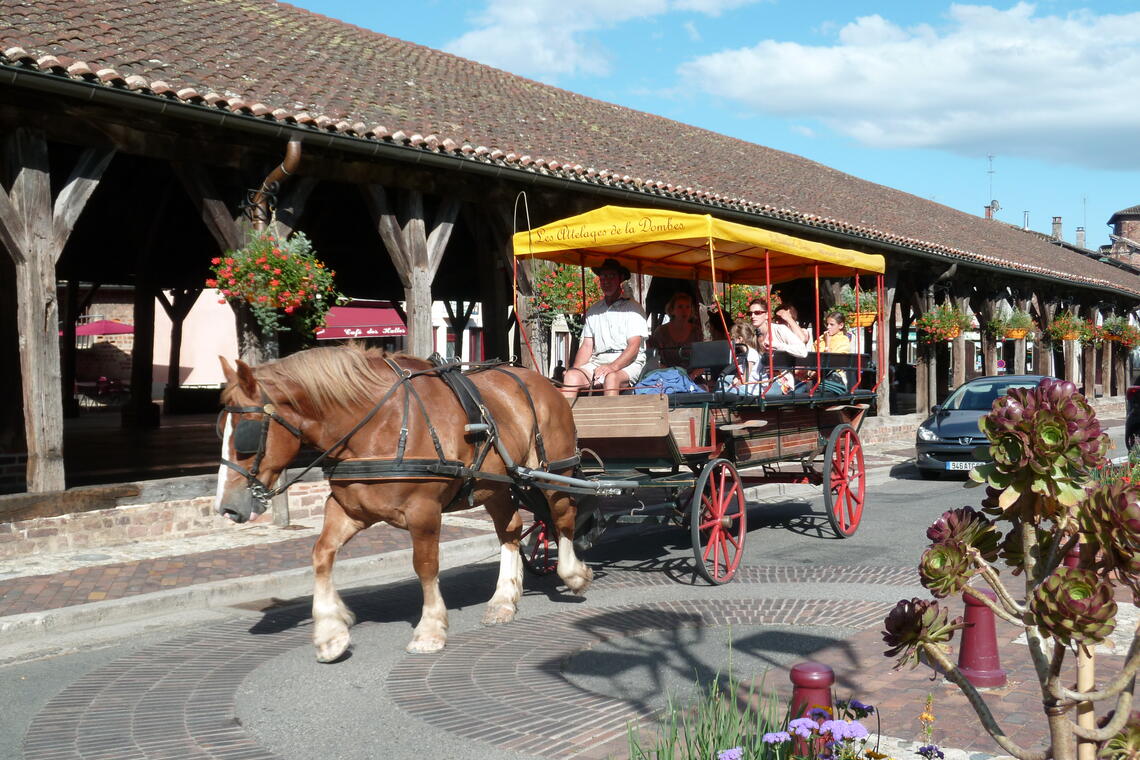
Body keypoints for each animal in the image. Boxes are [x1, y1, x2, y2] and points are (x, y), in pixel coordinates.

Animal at [214, 344, 592, 660]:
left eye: (246, 434)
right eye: (221, 428)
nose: (227, 507)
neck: (380, 425)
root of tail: (545, 382)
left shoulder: (423, 510)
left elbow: (425, 566)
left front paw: (430, 630)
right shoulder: (348, 508)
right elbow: (321, 555)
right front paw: (330, 632)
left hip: (553, 474)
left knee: (563, 519)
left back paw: (573, 574)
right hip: (495, 485)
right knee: (510, 530)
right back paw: (503, 600)